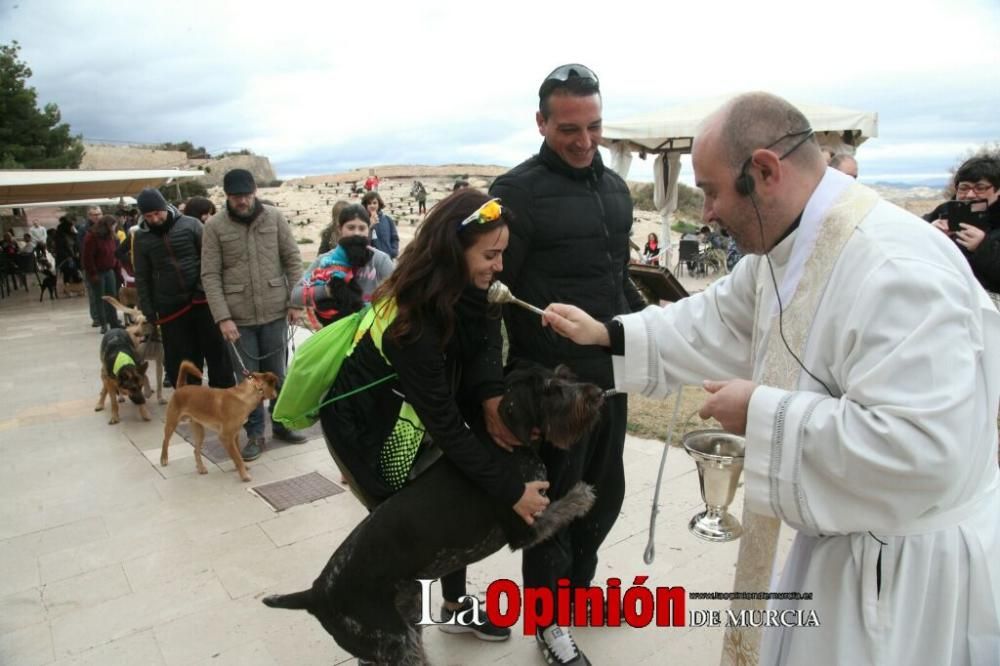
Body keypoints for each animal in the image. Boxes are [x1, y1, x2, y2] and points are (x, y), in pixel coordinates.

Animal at [262, 364, 600, 664]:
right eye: (551, 389)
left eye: (564, 375)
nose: (597, 393)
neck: (506, 446)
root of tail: (315, 593)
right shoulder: (527, 527)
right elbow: (565, 505)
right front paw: (583, 494)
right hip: (395, 640)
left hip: (407, 615)